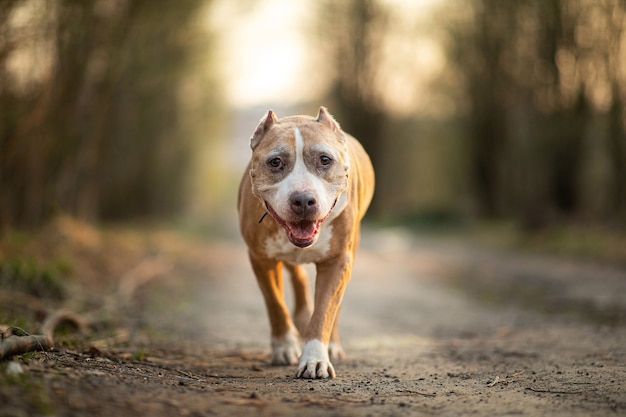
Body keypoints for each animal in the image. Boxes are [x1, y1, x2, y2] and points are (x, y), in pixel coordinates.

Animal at [236, 106, 372, 376]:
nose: (303, 200)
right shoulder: (261, 258)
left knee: (334, 307)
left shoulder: (337, 261)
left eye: (325, 160)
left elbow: (324, 311)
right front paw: (284, 347)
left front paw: (315, 358)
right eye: (275, 162)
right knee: (297, 278)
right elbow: (275, 303)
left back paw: (332, 345)